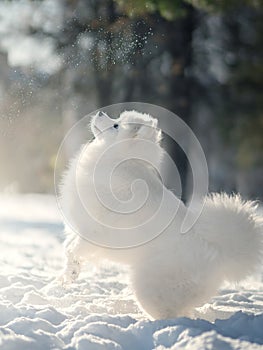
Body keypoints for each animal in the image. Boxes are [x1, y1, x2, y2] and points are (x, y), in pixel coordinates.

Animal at [59, 110, 263, 320]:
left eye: (116, 125)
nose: (100, 112)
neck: (119, 161)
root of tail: (217, 251)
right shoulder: (81, 227)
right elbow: (68, 248)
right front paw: (69, 274)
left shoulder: (96, 231)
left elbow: (75, 248)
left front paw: (71, 271)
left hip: (148, 285)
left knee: (169, 312)